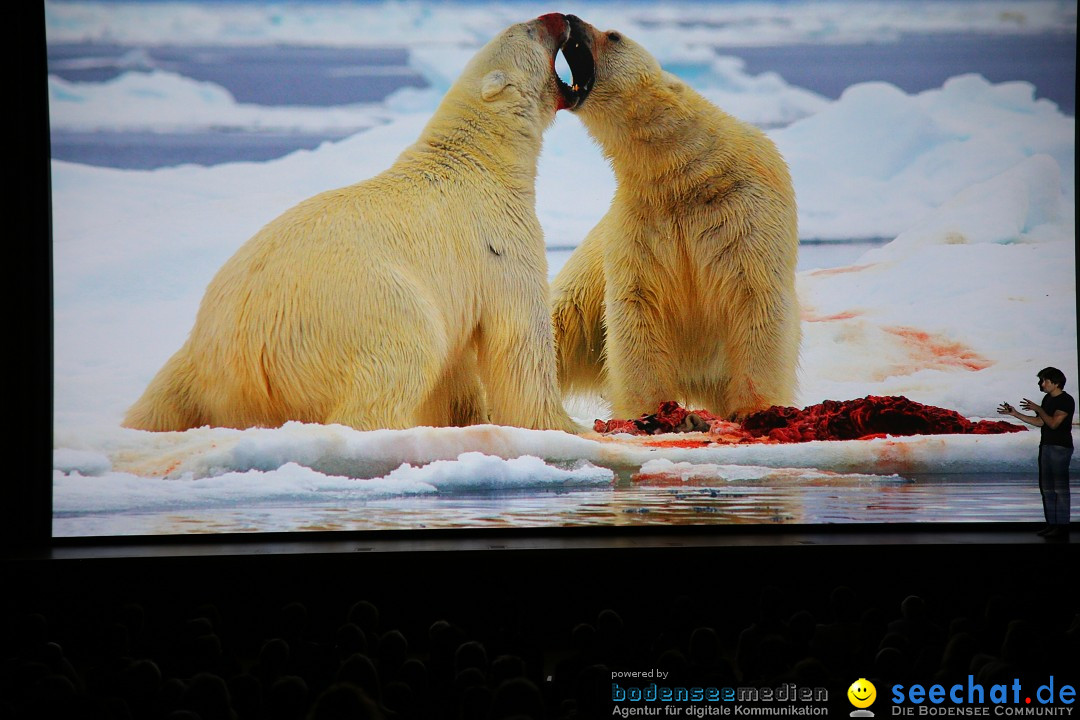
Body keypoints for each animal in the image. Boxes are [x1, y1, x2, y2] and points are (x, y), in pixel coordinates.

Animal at [128, 15, 600, 433]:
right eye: (528, 30)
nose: (560, 16)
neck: (481, 160)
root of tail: (235, 350)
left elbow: (458, 365)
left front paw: (469, 417)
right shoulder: (499, 240)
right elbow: (520, 339)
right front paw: (566, 425)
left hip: (196, 358)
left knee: (161, 397)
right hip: (358, 311)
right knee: (403, 353)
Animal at [552, 15, 799, 423]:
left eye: (613, 35)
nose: (571, 19)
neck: (687, 171)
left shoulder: (745, 213)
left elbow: (755, 297)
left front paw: (754, 409)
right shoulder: (640, 221)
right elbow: (637, 304)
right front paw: (650, 413)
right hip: (586, 277)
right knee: (560, 320)